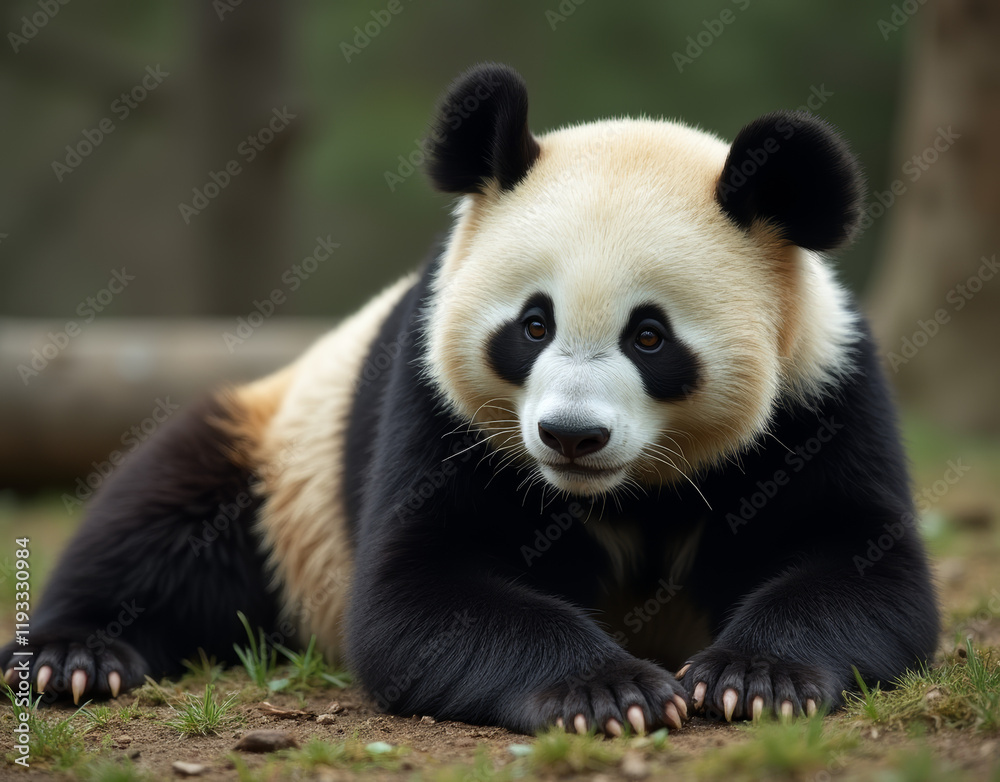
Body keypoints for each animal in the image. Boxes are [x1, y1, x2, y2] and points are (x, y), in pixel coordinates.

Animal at [2, 63, 939, 736]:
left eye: (650, 337)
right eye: (533, 324)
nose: (571, 436)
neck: (625, 492)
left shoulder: (818, 400)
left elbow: (861, 567)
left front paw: (754, 680)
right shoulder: (437, 404)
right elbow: (420, 589)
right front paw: (610, 693)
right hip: (276, 456)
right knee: (163, 516)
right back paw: (71, 659)